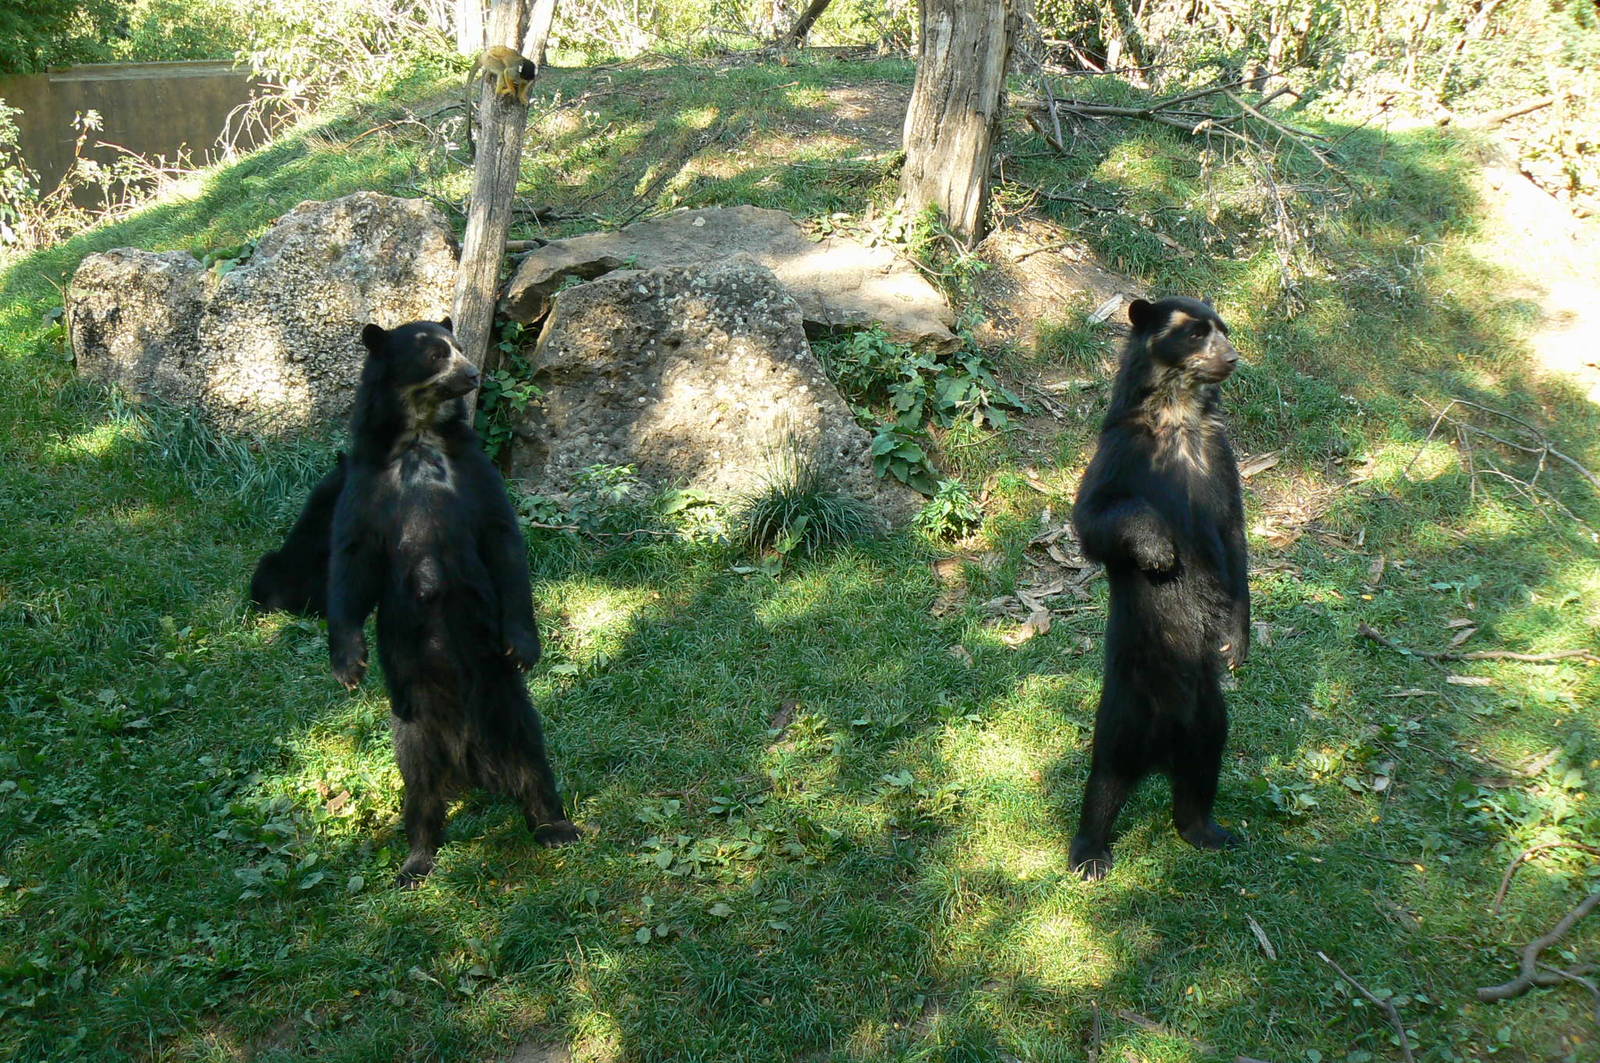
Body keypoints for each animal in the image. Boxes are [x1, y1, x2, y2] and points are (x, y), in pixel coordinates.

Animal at [326, 318, 580, 886]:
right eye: (435, 354)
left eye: (460, 347)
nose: (472, 374)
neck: (420, 437)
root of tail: (468, 759)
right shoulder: (366, 485)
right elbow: (351, 564)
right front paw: (349, 666)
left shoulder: (475, 473)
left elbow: (503, 541)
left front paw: (525, 646)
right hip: (411, 717)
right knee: (420, 789)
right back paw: (417, 859)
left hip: (504, 699)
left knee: (531, 756)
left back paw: (554, 826)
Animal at [1068, 296, 1249, 880]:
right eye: (1195, 333)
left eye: (1223, 330)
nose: (1232, 358)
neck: (1178, 416)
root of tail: (1163, 745)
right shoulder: (1123, 450)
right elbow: (1095, 516)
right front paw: (1159, 551)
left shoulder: (1220, 458)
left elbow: (1234, 540)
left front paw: (1237, 643)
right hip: (1128, 703)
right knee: (1106, 774)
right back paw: (1089, 854)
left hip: (1209, 717)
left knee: (1203, 767)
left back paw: (1209, 832)